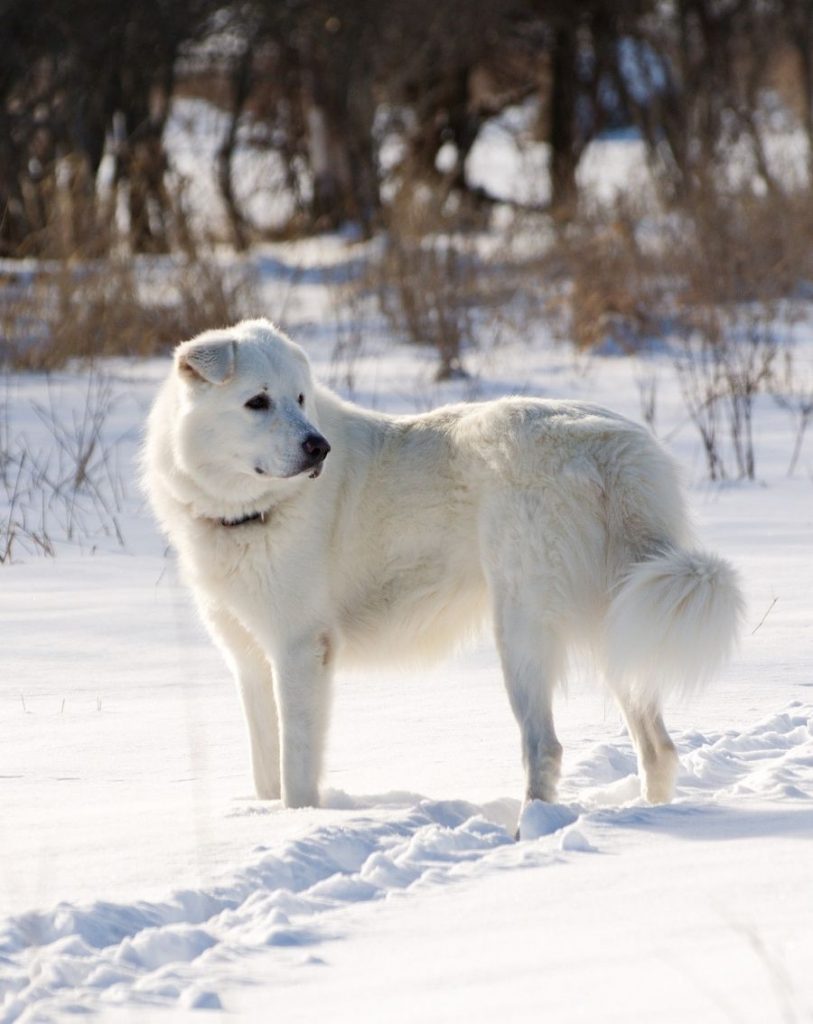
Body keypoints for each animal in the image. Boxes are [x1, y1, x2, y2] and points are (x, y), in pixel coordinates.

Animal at [144, 317, 741, 806]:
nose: (319, 448)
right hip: (618, 624)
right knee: (658, 749)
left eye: (299, 398)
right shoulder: (248, 659)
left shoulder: (300, 650)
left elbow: (295, 774)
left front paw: (300, 823)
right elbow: (266, 768)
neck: (251, 512)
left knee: (545, 747)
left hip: (522, 632)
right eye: (258, 402)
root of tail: (608, 449)